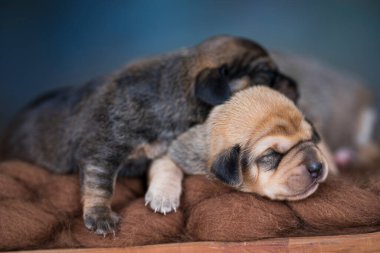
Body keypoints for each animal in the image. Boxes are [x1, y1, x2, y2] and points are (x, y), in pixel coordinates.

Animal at [145, 85, 330, 213]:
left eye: (311, 139)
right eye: (272, 154)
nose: (317, 167)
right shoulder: (178, 151)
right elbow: (166, 166)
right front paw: (163, 196)